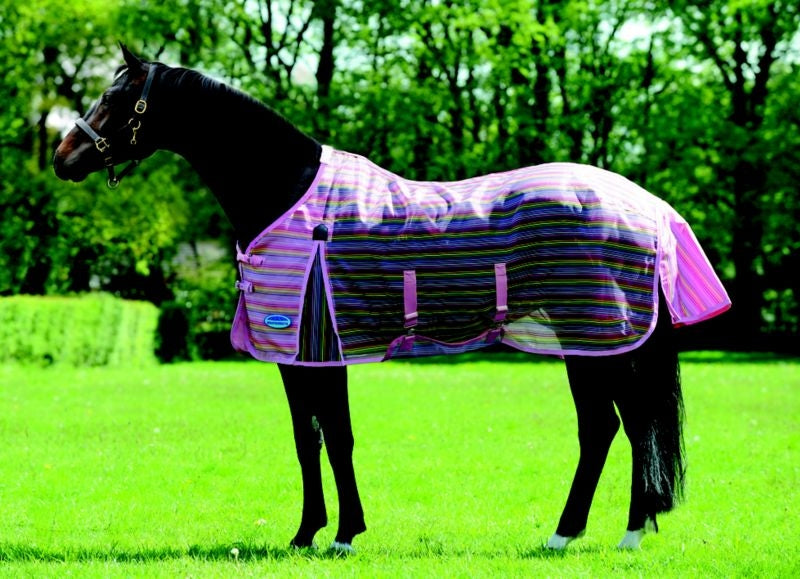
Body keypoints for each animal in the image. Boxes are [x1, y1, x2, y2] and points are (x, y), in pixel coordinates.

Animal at [53, 44, 731, 554]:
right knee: (611, 428)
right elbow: (309, 440)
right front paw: (309, 533)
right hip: (593, 342)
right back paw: (591, 532)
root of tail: (646, 205)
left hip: (601, 338)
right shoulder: (299, 358)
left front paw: (341, 535)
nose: (63, 156)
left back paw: (606, 534)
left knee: (622, 426)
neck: (287, 191)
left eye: (114, 99)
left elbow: (336, 437)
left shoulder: (317, 348)